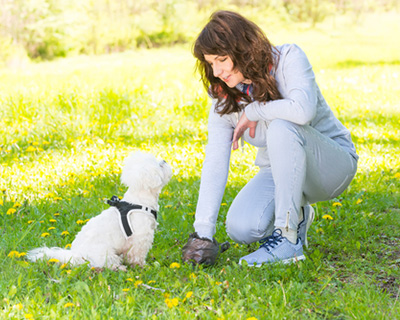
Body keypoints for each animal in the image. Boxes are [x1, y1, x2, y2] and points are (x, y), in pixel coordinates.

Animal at [27, 152, 172, 270]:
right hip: (105, 252)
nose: (165, 160)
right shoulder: (140, 238)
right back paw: (119, 268)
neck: (140, 200)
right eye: (159, 165)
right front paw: (141, 266)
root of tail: (75, 255)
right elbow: (137, 255)